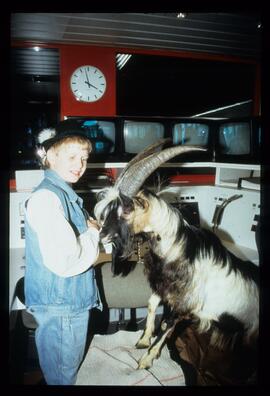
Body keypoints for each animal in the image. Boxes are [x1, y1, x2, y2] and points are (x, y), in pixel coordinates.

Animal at [94, 141, 258, 370]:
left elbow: (167, 325)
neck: (176, 250)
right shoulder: (163, 288)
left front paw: (146, 360)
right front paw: (143, 340)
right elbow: (152, 305)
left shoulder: (184, 304)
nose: (101, 235)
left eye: (126, 210)